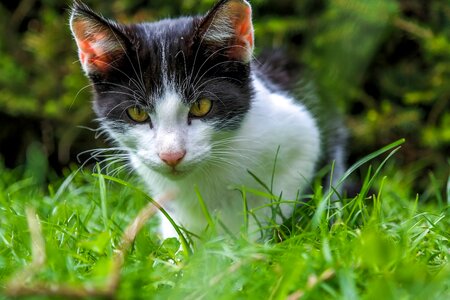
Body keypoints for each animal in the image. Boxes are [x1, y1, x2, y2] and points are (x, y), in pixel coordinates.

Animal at [69, 0, 344, 239]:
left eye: (201, 106)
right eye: (137, 113)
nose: (171, 156)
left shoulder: (302, 135)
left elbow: (278, 201)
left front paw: (249, 246)